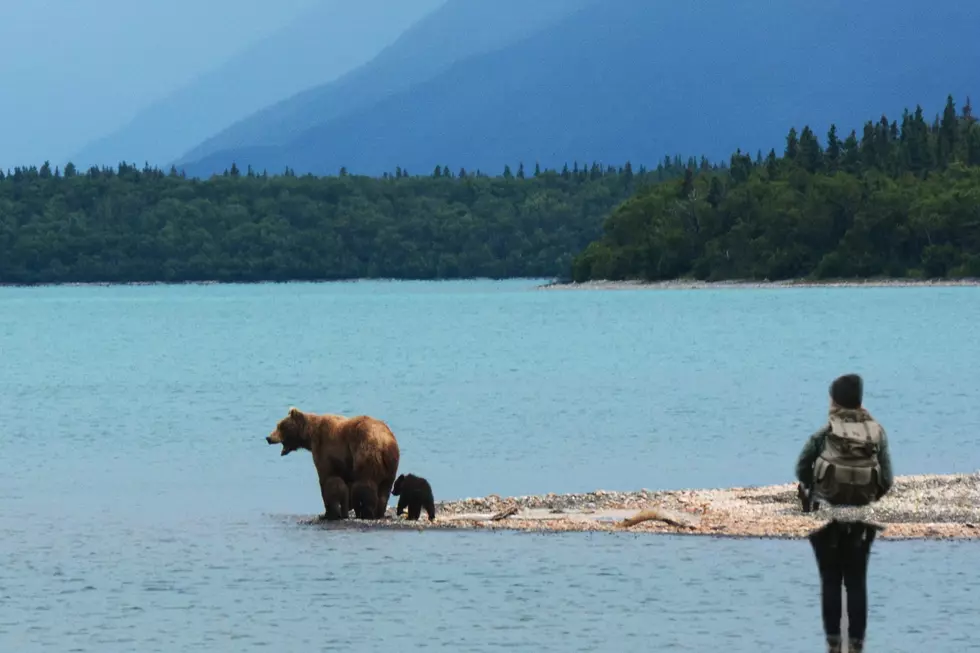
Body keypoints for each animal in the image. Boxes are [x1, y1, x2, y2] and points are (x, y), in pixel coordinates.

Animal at [266, 408, 400, 520]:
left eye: (280, 426)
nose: (268, 438)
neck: (310, 436)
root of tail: (385, 444)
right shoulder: (345, 464)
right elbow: (345, 486)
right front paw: (343, 511)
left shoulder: (325, 449)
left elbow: (327, 479)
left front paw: (328, 513)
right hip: (390, 466)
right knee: (385, 490)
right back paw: (379, 513)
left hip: (366, 453)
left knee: (366, 484)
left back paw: (367, 513)